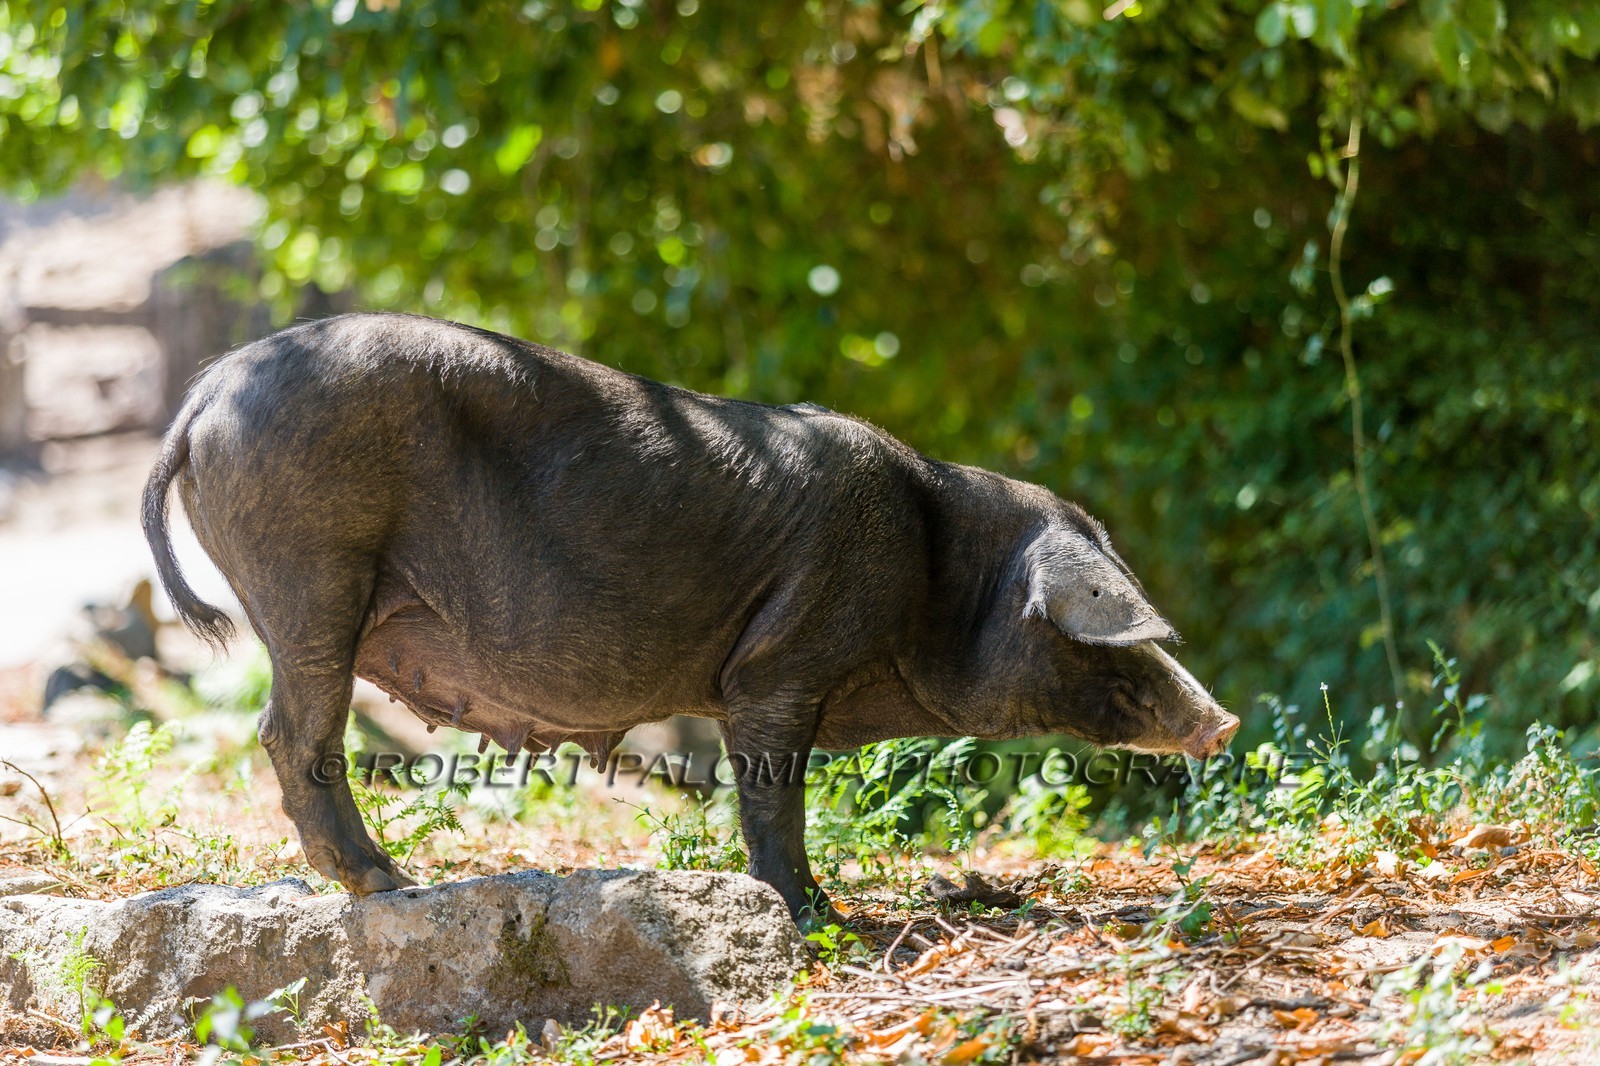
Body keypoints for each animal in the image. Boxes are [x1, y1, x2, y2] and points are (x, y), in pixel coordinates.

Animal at [142, 313, 1237, 925]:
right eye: (1105, 633)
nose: (1222, 721)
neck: (935, 574)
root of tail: (202, 396)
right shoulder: (782, 661)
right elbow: (772, 795)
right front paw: (816, 916)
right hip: (310, 568)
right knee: (291, 730)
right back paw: (387, 883)